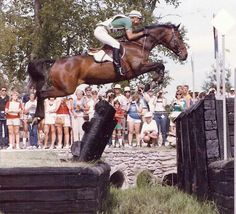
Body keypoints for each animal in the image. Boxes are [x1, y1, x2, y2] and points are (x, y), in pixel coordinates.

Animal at [27, 24, 188, 118]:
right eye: (179, 37)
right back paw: (38, 117)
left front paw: (152, 83)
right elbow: (160, 65)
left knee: (41, 93)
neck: (138, 44)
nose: (185, 55)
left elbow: (160, 66)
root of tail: (56, 61)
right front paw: (153, 83)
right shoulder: (138, 68)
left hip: (62, 88)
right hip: (65, 89)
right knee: (41, 94)